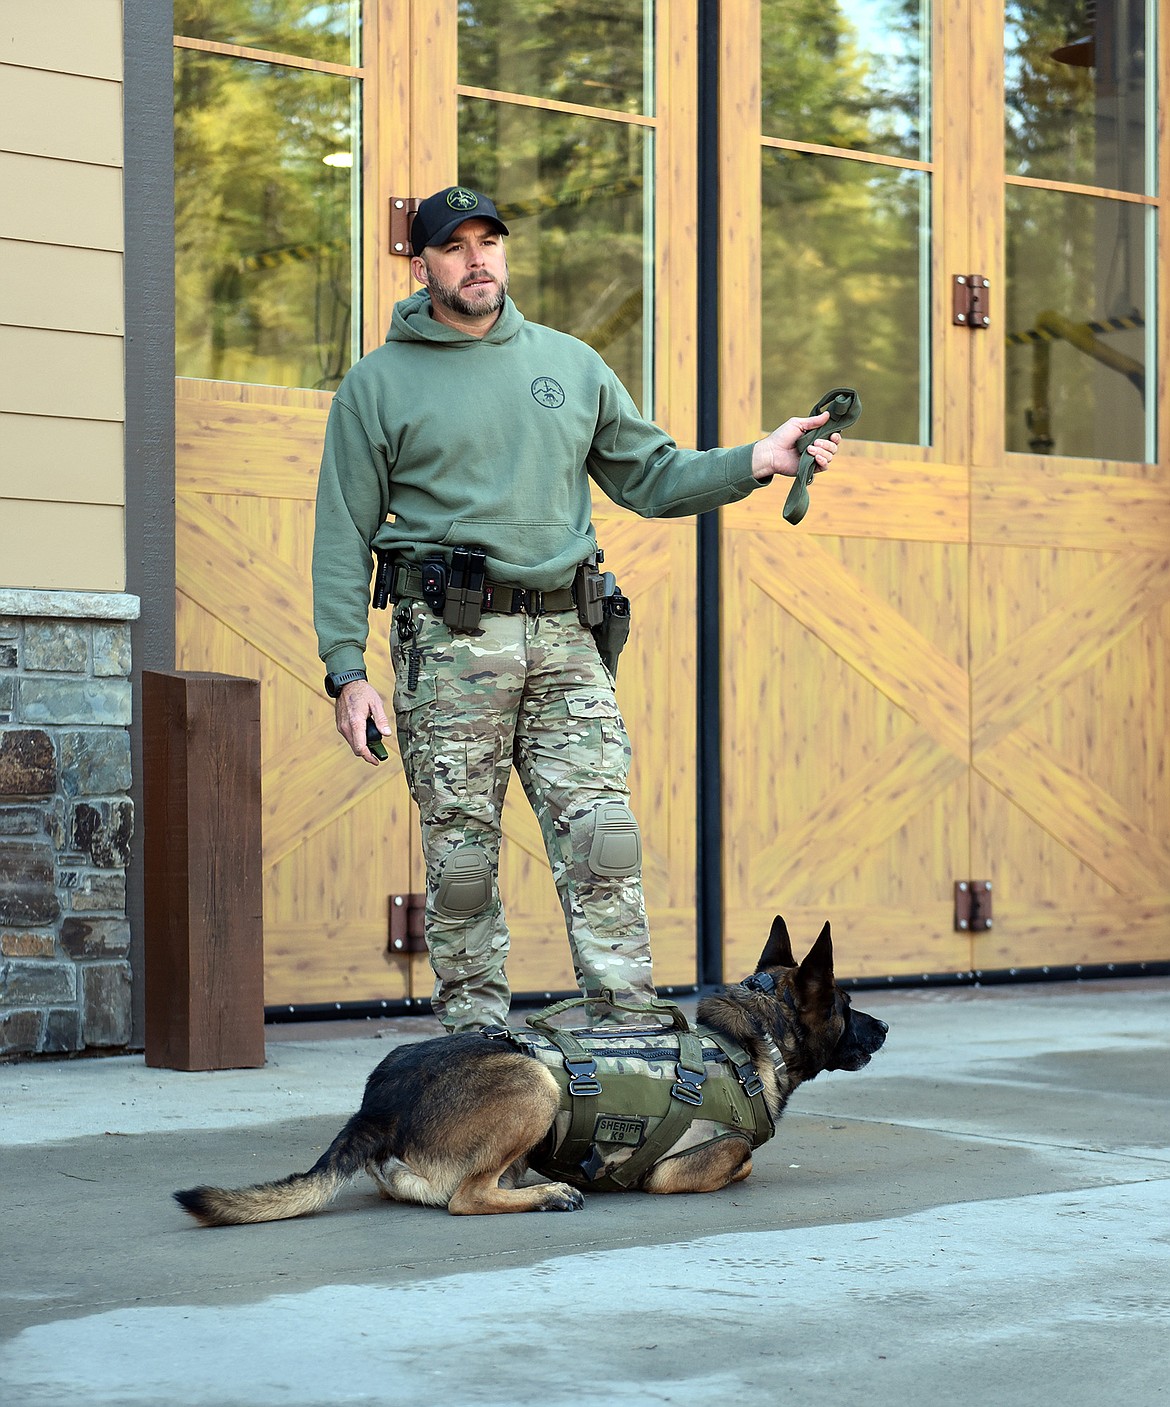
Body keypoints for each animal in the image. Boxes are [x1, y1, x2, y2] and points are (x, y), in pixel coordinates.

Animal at [175, 917, 888, 1226]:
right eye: (848, 1004)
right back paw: (549, 1194)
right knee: (465, 1198)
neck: (744, 1042)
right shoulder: (686, 1167)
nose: (884, 1029)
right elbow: (741, 1163)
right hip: (534, 1085)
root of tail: (378, 1100)